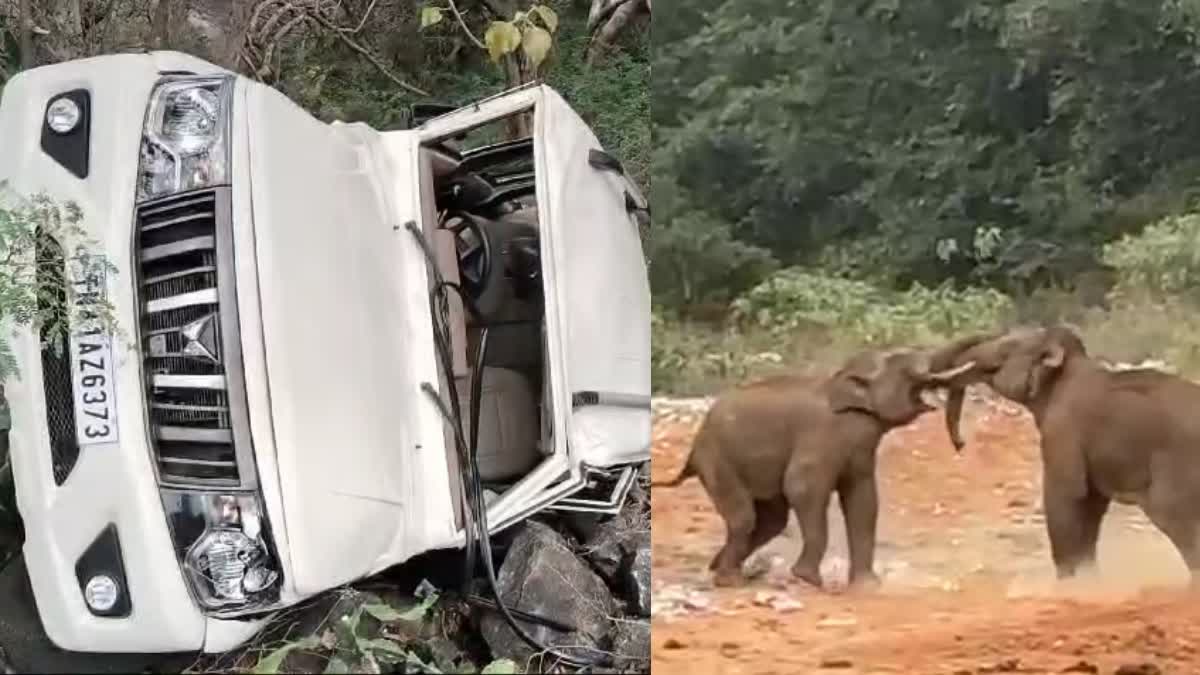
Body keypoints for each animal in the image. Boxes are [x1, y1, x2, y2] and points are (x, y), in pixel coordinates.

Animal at [657, 348, 974, 586]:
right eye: (908, 366)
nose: (961, 445)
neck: (843, 380)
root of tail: (693, 448)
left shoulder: (861, 448)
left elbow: (863, 500)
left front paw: (868, 586)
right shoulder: (822, 436)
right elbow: (803, 487)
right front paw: (807, 579)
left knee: (771, 519)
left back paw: (718, 568)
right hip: (718, 461)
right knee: (745, 518)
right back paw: (729, 580)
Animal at [931, 324, 1200, 581]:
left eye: (1008, 347)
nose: (960, 444)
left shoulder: (1062, 431)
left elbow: (1066, 495)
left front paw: (1067, 585)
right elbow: (1092, 505)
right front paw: (1089, 581)